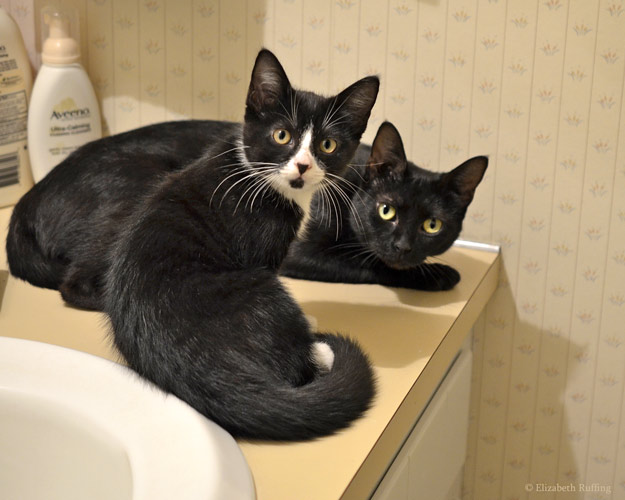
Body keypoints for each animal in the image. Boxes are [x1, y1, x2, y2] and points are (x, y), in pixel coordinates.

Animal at [280, 121, 490, 292]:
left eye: (433, 225)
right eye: (386, 211)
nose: (402, 246)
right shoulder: (298, 252)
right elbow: (367, 263)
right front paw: (437, 275)